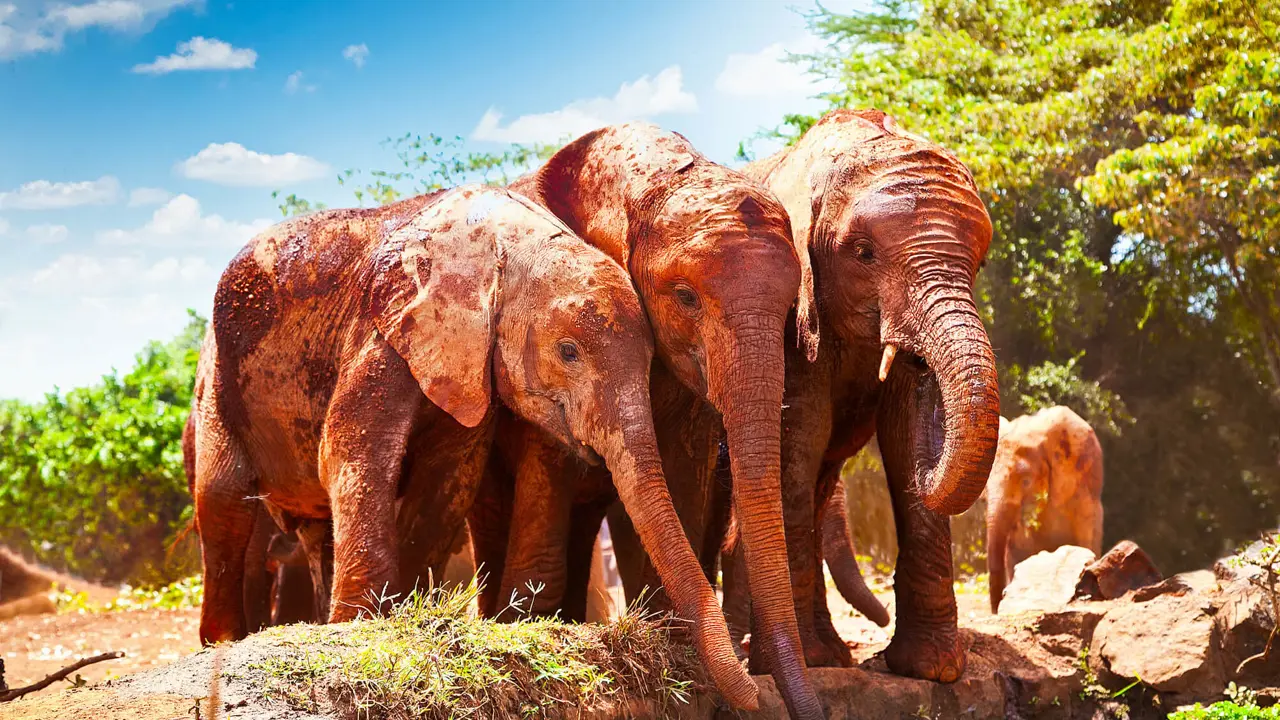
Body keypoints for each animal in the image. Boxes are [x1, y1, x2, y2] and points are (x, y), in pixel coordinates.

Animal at [187, 184, 756, 709]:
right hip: (217, 375)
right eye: (568, 352)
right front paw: (358, 630)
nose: (751, 693)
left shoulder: (468, 360)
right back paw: (226, 640)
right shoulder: (381, 327)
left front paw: (404, 620)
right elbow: (353, 451)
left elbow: (450, 476)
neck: (503, 248)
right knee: (223, 500)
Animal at [465, 122, 824, 719]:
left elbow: (683, 468)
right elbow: (553, 461)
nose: (755, 695)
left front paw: (676, 648)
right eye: (685, 297)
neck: (642, 179)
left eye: (790, 310)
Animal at [716, 108, 1001, 682]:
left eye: (978, 265)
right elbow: (799, 434)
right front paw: (816, 663)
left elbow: (907, 424)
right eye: (864, 254)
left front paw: (931, 668)